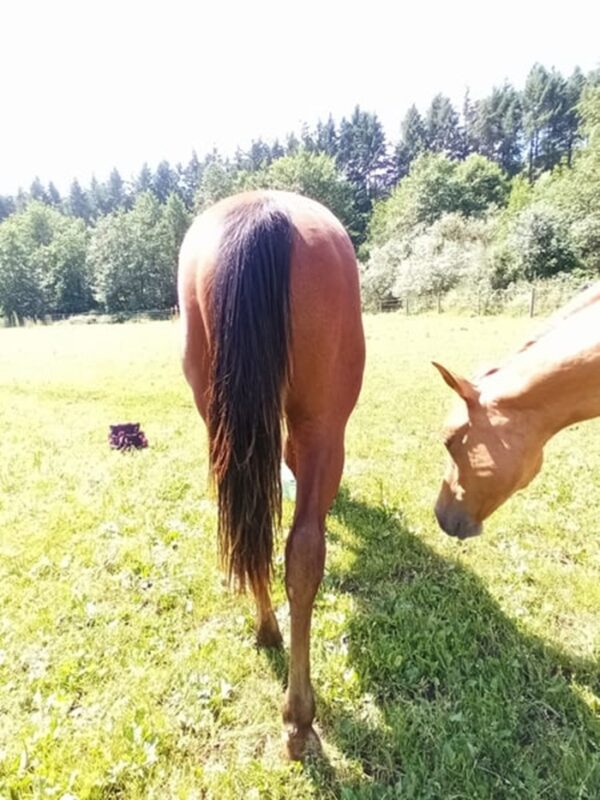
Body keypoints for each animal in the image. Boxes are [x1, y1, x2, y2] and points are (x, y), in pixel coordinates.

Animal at [177, 190, 365, 758]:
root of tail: (261, 212)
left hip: (222, 419)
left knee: (250, 528)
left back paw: (266, 631)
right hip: (323, 424)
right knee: (301, 552)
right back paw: (300, 717)